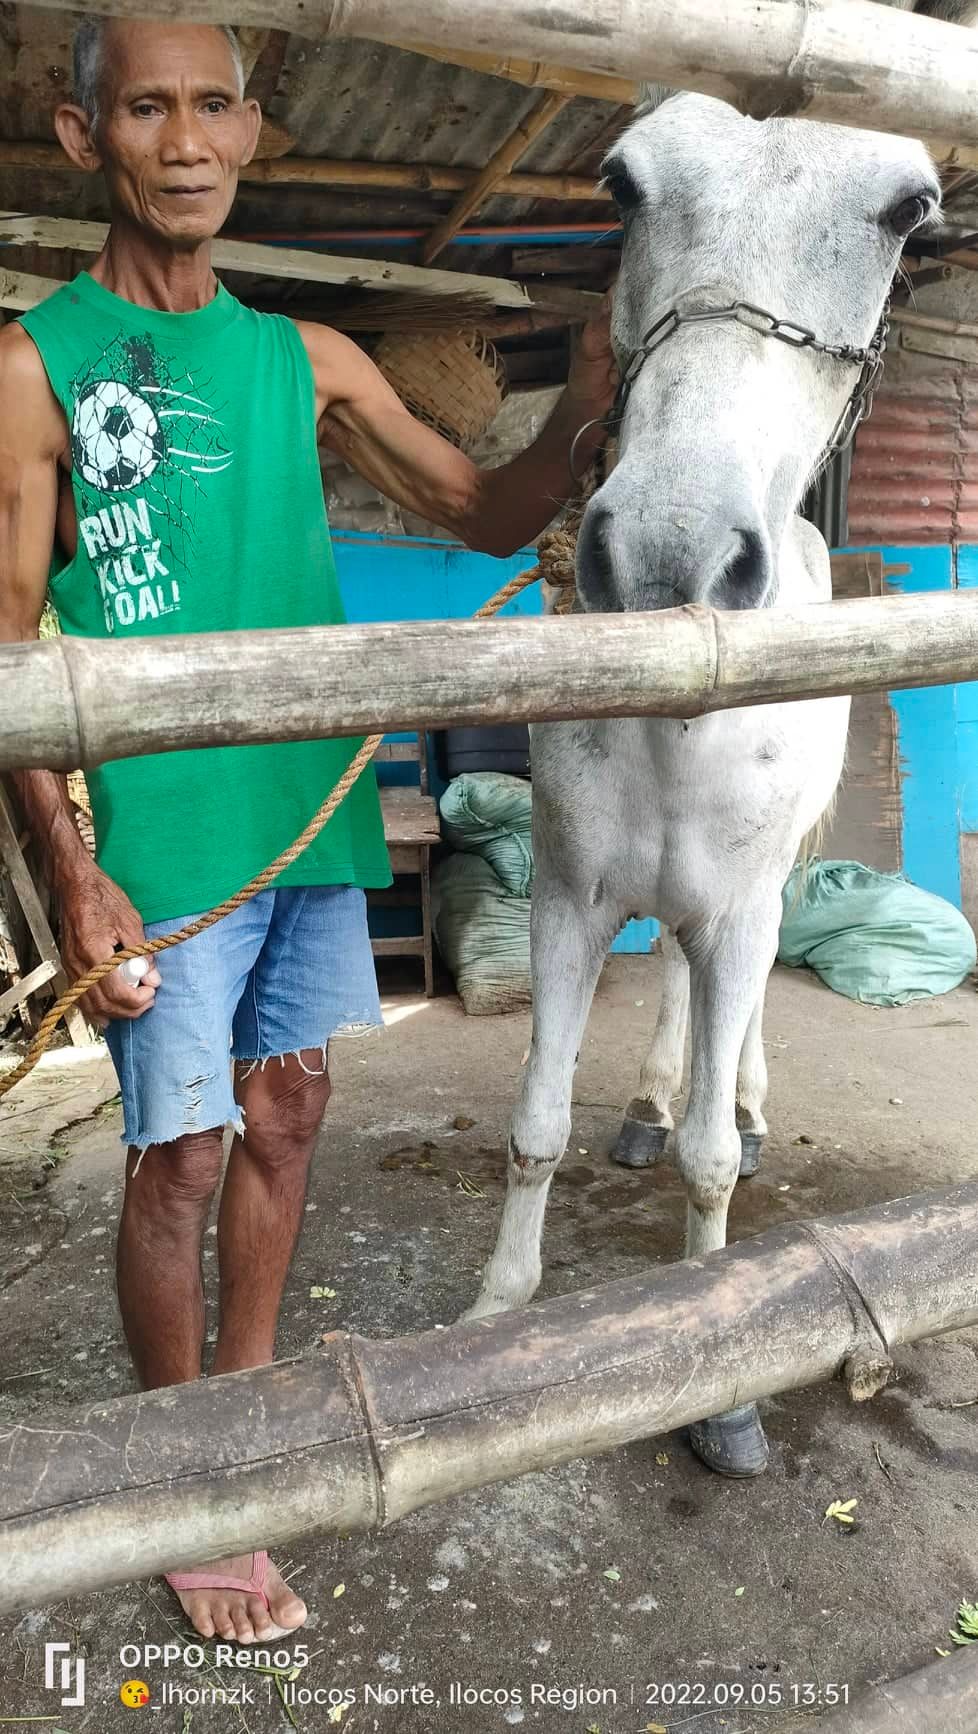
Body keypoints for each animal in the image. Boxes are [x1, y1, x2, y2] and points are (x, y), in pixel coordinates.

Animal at [459, 11, 959, 1477]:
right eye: (623, 184)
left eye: (908, 211)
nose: (668, 553)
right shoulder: (570, 902)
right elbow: (535, 1123)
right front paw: (494, 1313)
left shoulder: (741, 910)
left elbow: (712, 1169)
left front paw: (722, 1391)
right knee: (673, 990)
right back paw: (653, 1099)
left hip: (765, 884)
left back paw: (735, 1094)